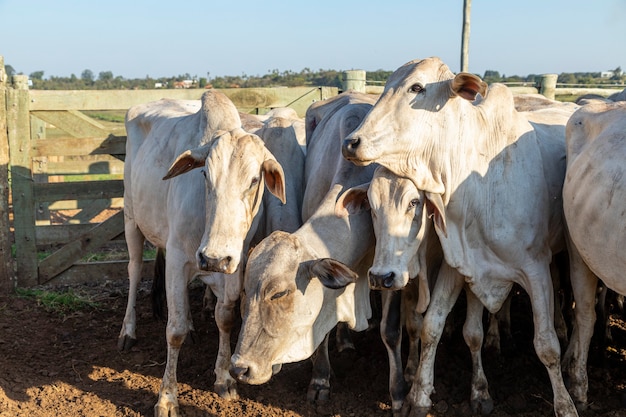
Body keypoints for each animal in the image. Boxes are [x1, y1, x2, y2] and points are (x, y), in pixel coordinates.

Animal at [122, 92, 302, 416]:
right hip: (131, 216)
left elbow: (225, 318)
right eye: (205, 173)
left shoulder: (235, 266)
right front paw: (167, 398)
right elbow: (174, 330)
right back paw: (128, 331)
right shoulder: (178, 260)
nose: (215, 258)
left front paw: (223, 378)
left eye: (254, 180)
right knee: (133, 269)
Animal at [342, 56, 576, 416]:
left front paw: (565, 405)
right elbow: (435, 326)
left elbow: (546, 345)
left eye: (417, 87)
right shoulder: (460, 265)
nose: (351, 143)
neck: (480, 184)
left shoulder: (537, 269)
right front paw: (420, 396)